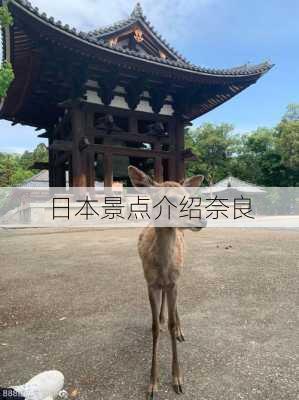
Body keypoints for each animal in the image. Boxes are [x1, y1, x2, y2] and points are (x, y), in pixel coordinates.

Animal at [127, 166, 205, 400]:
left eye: (190, 198)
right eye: (168, 199)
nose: (202, 221)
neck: (162, 266)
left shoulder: (173, 282)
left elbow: (170, 325)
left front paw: (177, 379)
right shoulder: (149, 282)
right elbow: (154, 327)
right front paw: (152, 384)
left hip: (179, 275)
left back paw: (179, 329)